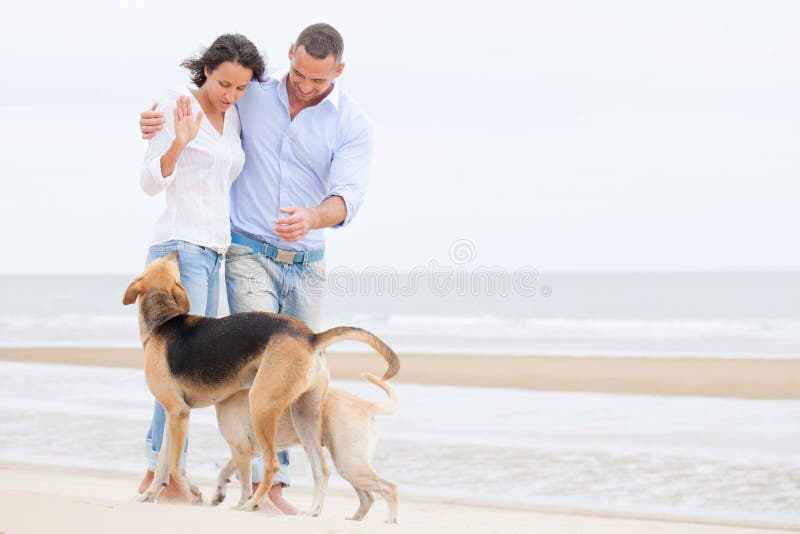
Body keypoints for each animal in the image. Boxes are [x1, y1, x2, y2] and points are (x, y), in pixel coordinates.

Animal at [212, 372, 400, 524]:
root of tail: (366, 405)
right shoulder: (247, 452)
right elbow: (224, 471)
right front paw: (219, 495)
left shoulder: (241, 450)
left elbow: (245, 485)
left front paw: (240, 506)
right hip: (349, 466)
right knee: (368, 498)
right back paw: (355, 519)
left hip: (349, 464)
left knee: (390, 488)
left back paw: (390, 520)